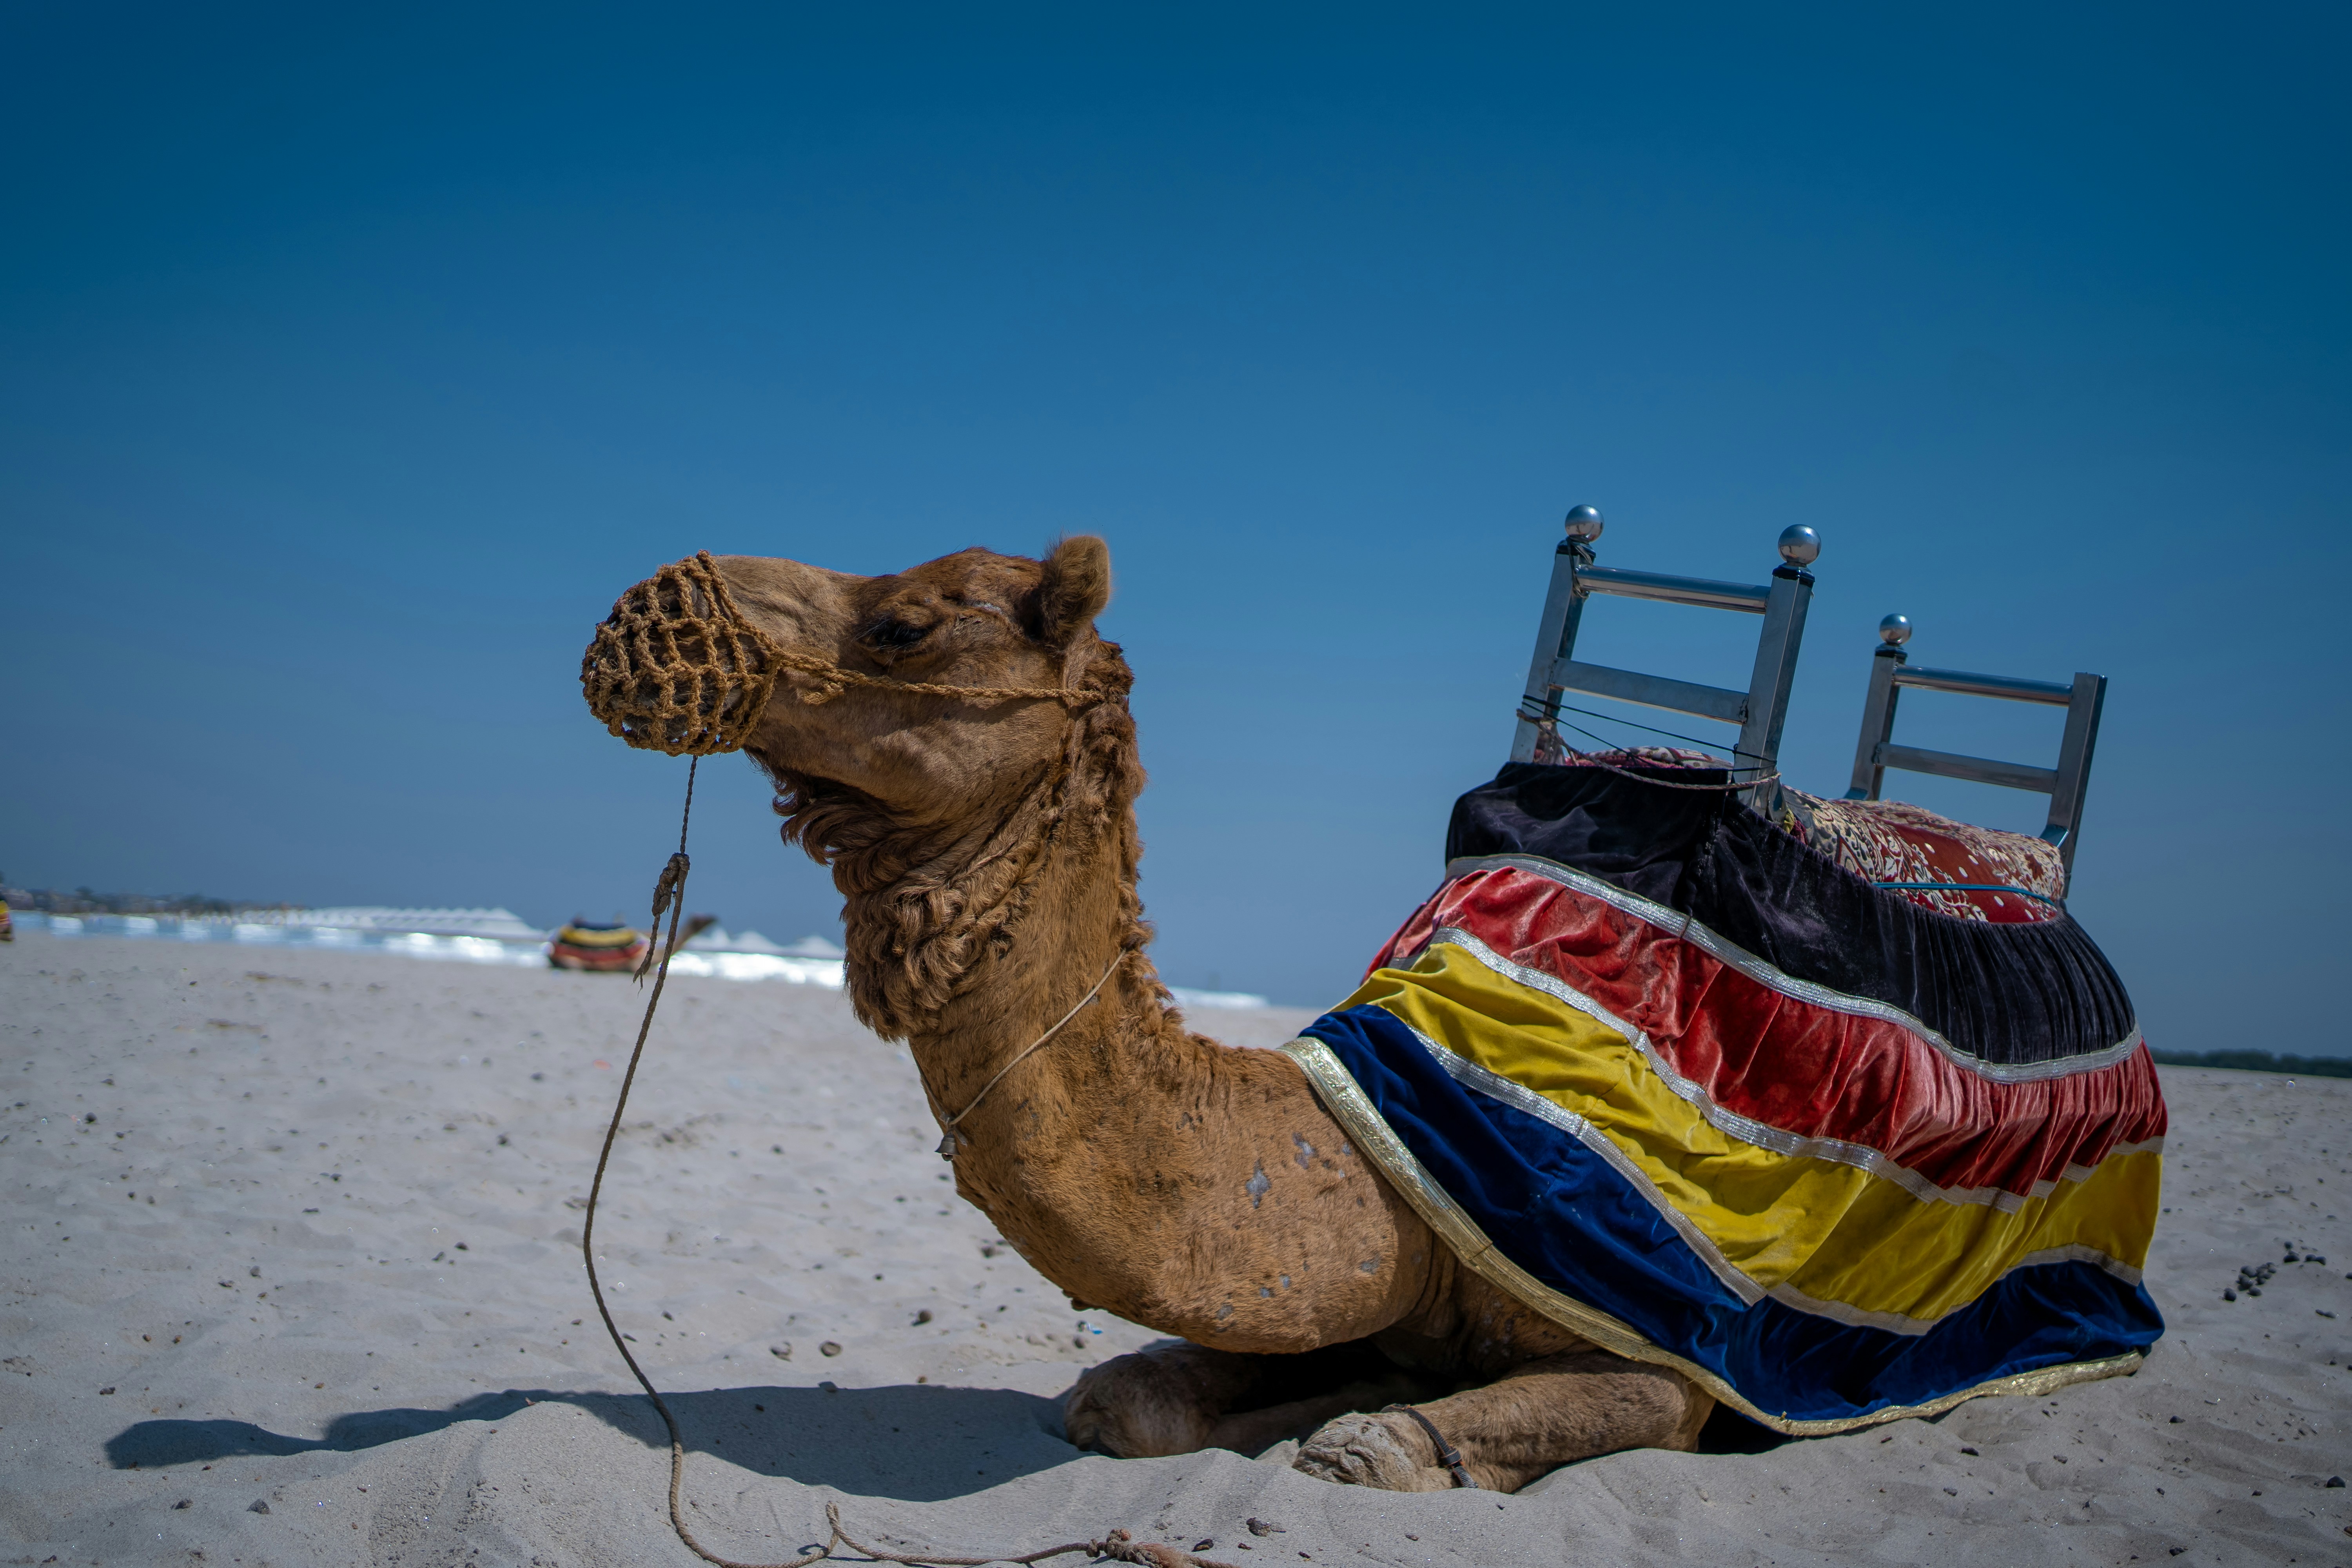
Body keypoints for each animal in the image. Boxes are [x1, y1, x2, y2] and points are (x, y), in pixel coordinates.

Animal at [587, 535, 1714, 1494]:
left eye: (903, 626)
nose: (648, 605)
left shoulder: (1669, 1352)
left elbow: (1410, 1444)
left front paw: (1373, 1434)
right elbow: (1125, 1399)